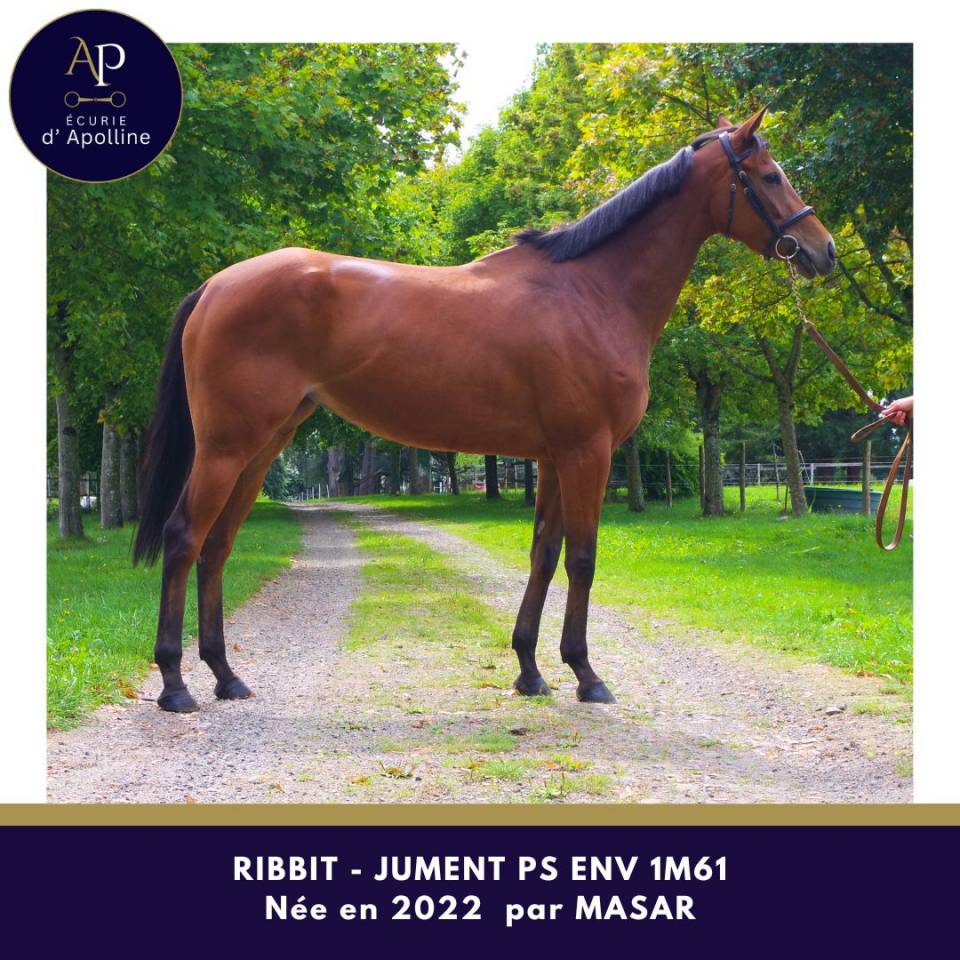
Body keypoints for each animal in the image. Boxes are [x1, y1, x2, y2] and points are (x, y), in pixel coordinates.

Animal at [133, 107, 836, 713]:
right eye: (769, 176)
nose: (822, 249)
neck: (592, 292)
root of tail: (217, 285)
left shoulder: (553, 458)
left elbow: (544, 555)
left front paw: (530, 670)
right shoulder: (588, 452)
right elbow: (582, 559)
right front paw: (587, 675)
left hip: (262, 447)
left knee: (218, 546)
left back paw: (226, 675)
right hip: (226, 448)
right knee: (184, 537)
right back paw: (175, 684)